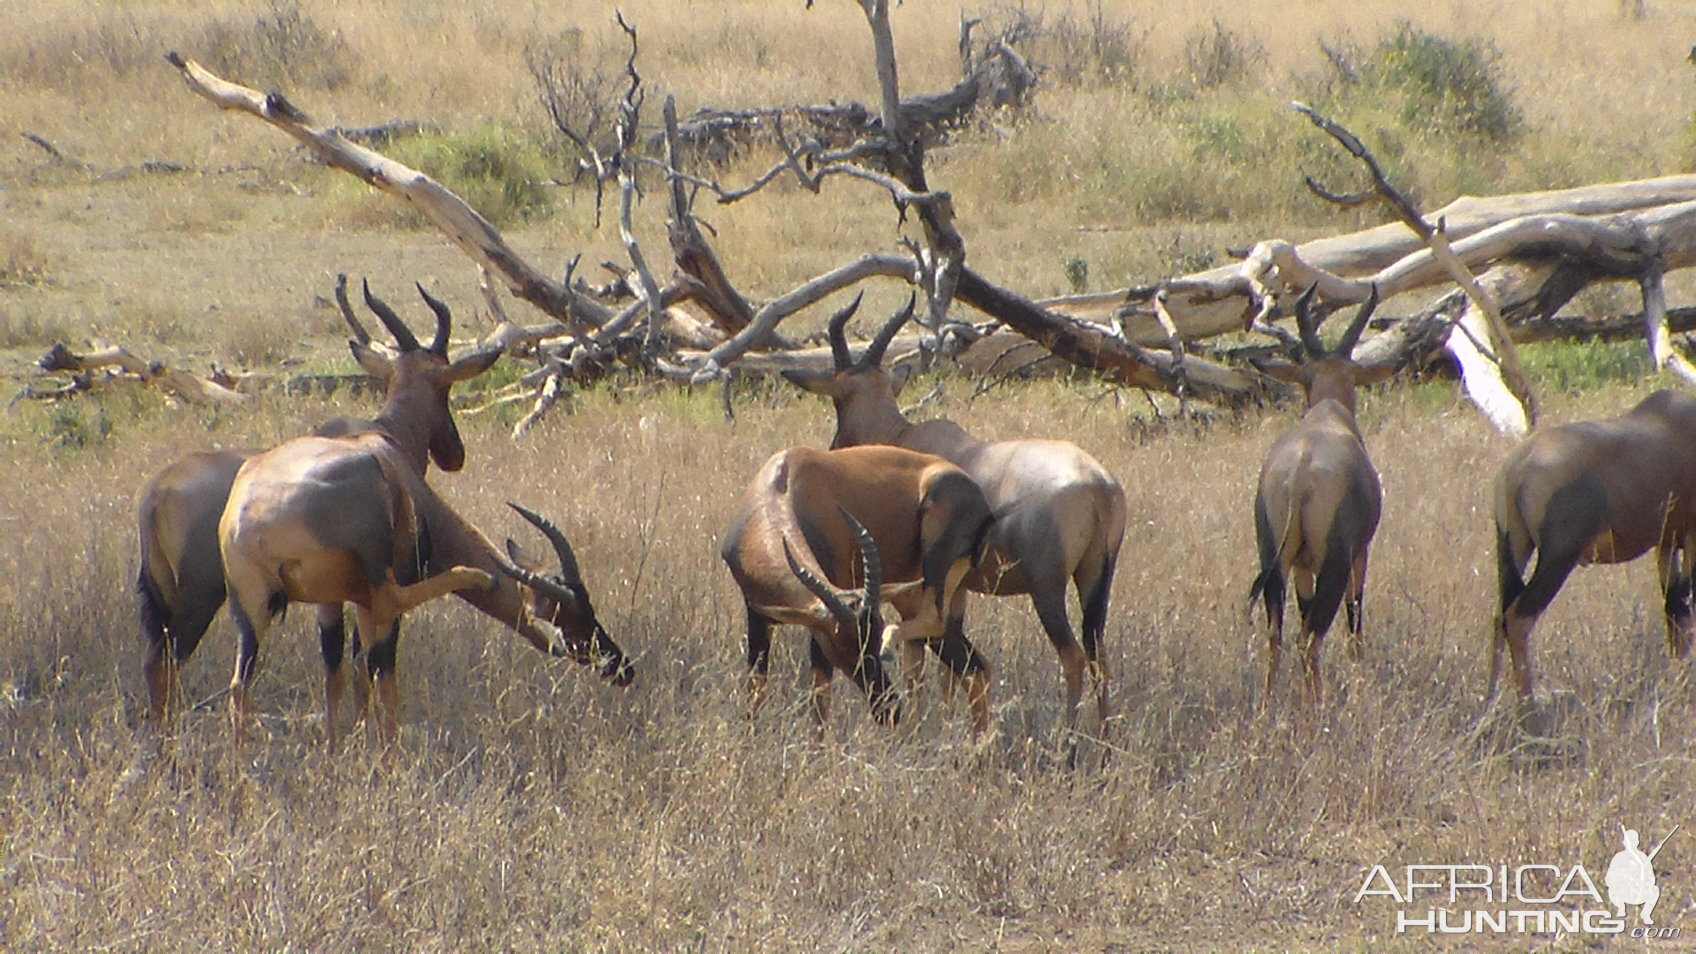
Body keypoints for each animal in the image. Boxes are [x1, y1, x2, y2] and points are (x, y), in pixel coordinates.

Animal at [722, 444, 997, 726]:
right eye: (845, 645)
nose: (889, 710)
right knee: (973, 667)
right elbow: (756, 691)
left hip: (935, 565)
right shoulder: (759, 615)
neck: (780, 486)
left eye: (873, 637)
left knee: (936, 622)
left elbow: (819, 701)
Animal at [780, 293, 1126, 729]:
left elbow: (917, 662)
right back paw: (1105, 739)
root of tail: (1100, 486)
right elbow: (944, 672)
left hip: (1045, 586)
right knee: (1099, 656)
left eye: (837, 397)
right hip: (1097, 579)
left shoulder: (915, 589)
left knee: (1073, 656)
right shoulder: (957, 591)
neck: (905, 436)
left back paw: (1069, 739)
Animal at [1248, 283, 1390, 706]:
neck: (1328, 414)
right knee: (1310, 638)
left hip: (1274, 559)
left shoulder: (1301, 566)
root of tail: (1300, 473)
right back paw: (1317, 712)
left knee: (1278, 636)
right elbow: (1355, 623)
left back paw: (1269, 711)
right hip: (1336, 561)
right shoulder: (1360, 554)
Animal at [1492, 387, 1696, 719]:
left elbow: (1674, 608)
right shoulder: (1691, 538)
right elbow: (1685, 606)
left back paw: (1489, 707)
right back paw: (1530, 718)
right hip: (1558, 558)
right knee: (1518, 618)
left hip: (1512, 548)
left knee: (1499, 617)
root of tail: (1517, 469)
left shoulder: (1666, 543)